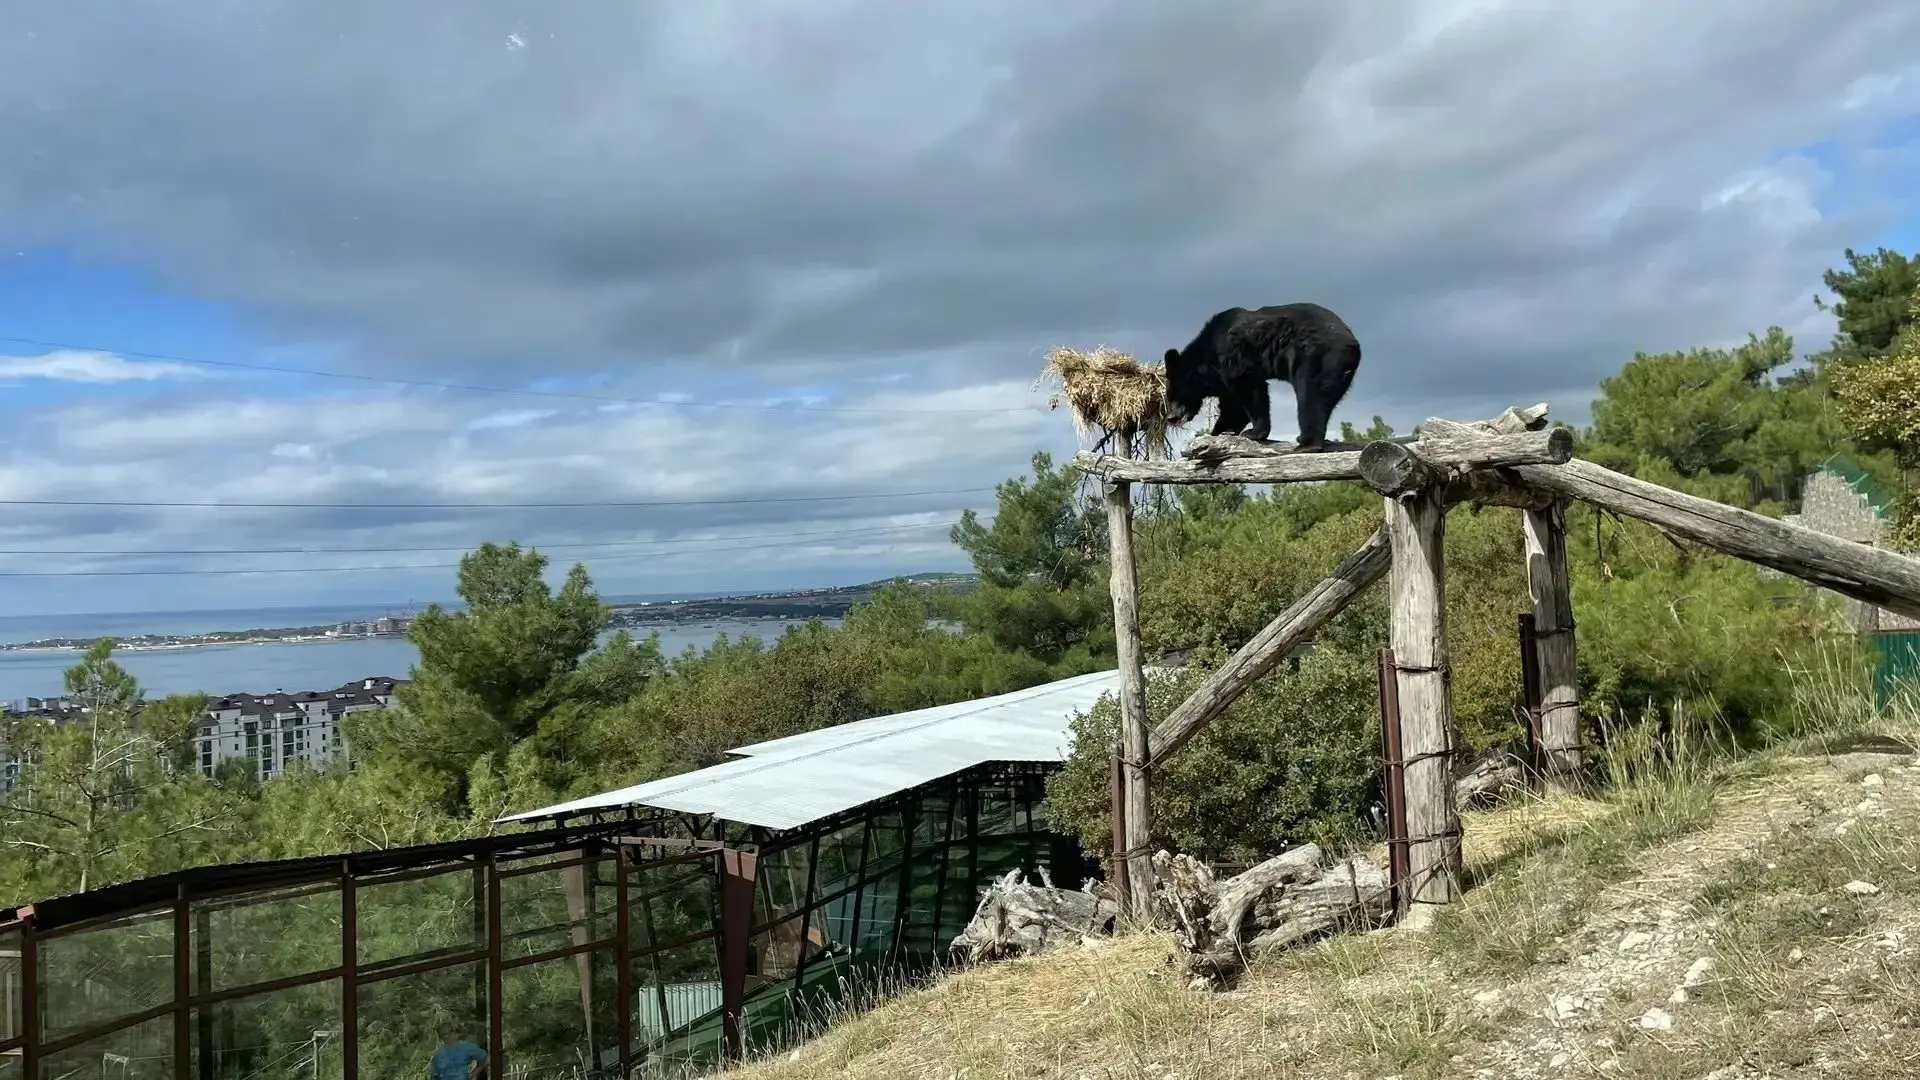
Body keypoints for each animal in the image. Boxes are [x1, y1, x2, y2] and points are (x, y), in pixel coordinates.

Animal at [1161, 302, 1363, 450]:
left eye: (1173, 395)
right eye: (1168, 397)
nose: (1171, 418)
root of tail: (1353, 343)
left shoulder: (1234, 358)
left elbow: (1250, 389)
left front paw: (1253, 432)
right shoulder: (1224, 380)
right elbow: (1233, 407)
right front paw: (1218, 433)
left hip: (1317, 358)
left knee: (1310, 397)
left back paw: (1306, 442)